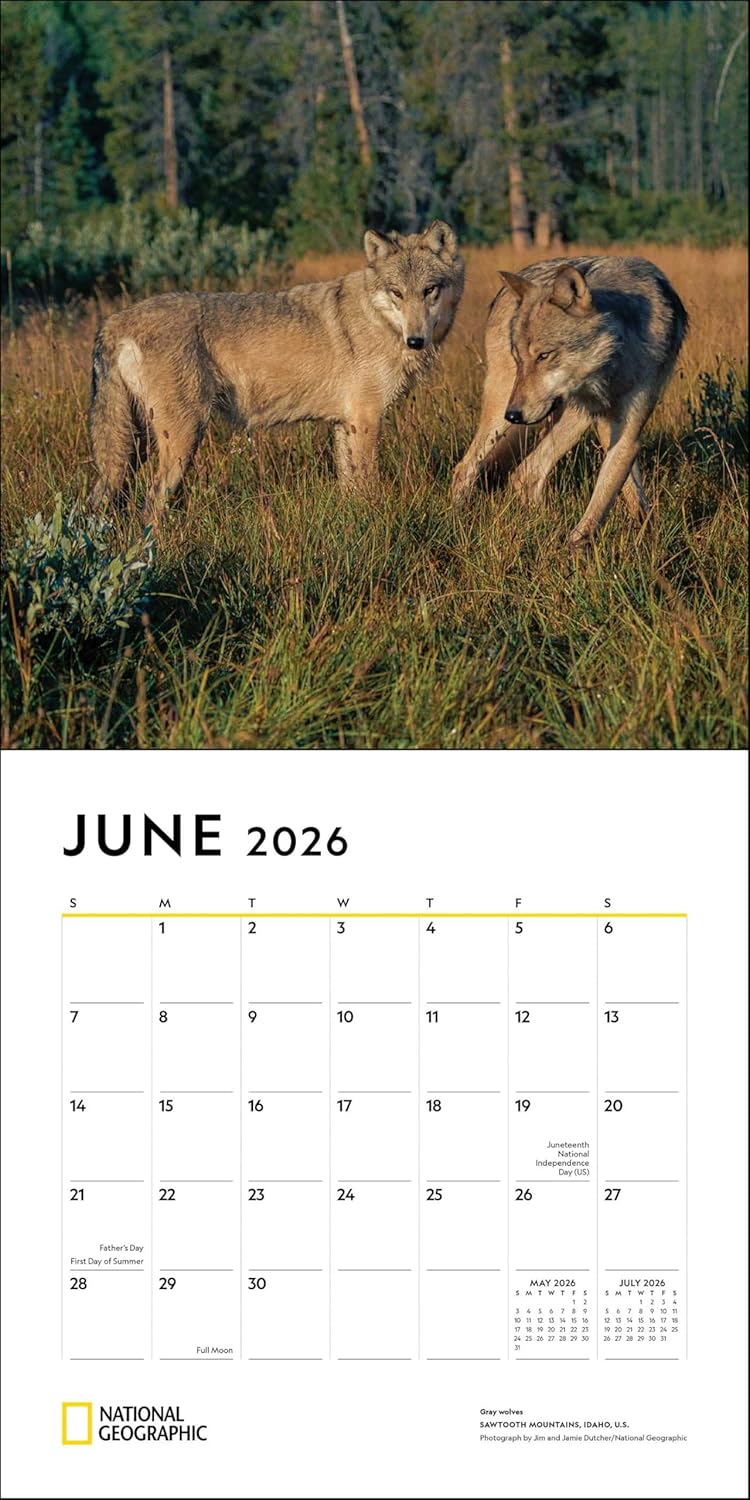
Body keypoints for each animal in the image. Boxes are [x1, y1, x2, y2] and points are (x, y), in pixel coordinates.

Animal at [88, 221, 464, 520]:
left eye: (429, 290)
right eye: (397, 293)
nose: (415, 341)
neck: (378, 321)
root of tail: (113, 322)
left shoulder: (345, 424)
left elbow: (350, 489)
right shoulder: (366, 421)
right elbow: (368, 487)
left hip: (134, 446)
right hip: (181, 440)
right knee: (151, 504)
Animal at [451, 255, 688, 544]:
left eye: (544, 355)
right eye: (520, 358)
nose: (514, 414)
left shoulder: (623, 432)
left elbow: (621, 491)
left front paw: (648, 535)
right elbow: (599, 509)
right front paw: (575, 551)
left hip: (562, 417)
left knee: (527, 471)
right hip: (514, 409)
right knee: (480, 468)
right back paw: (461, 518)